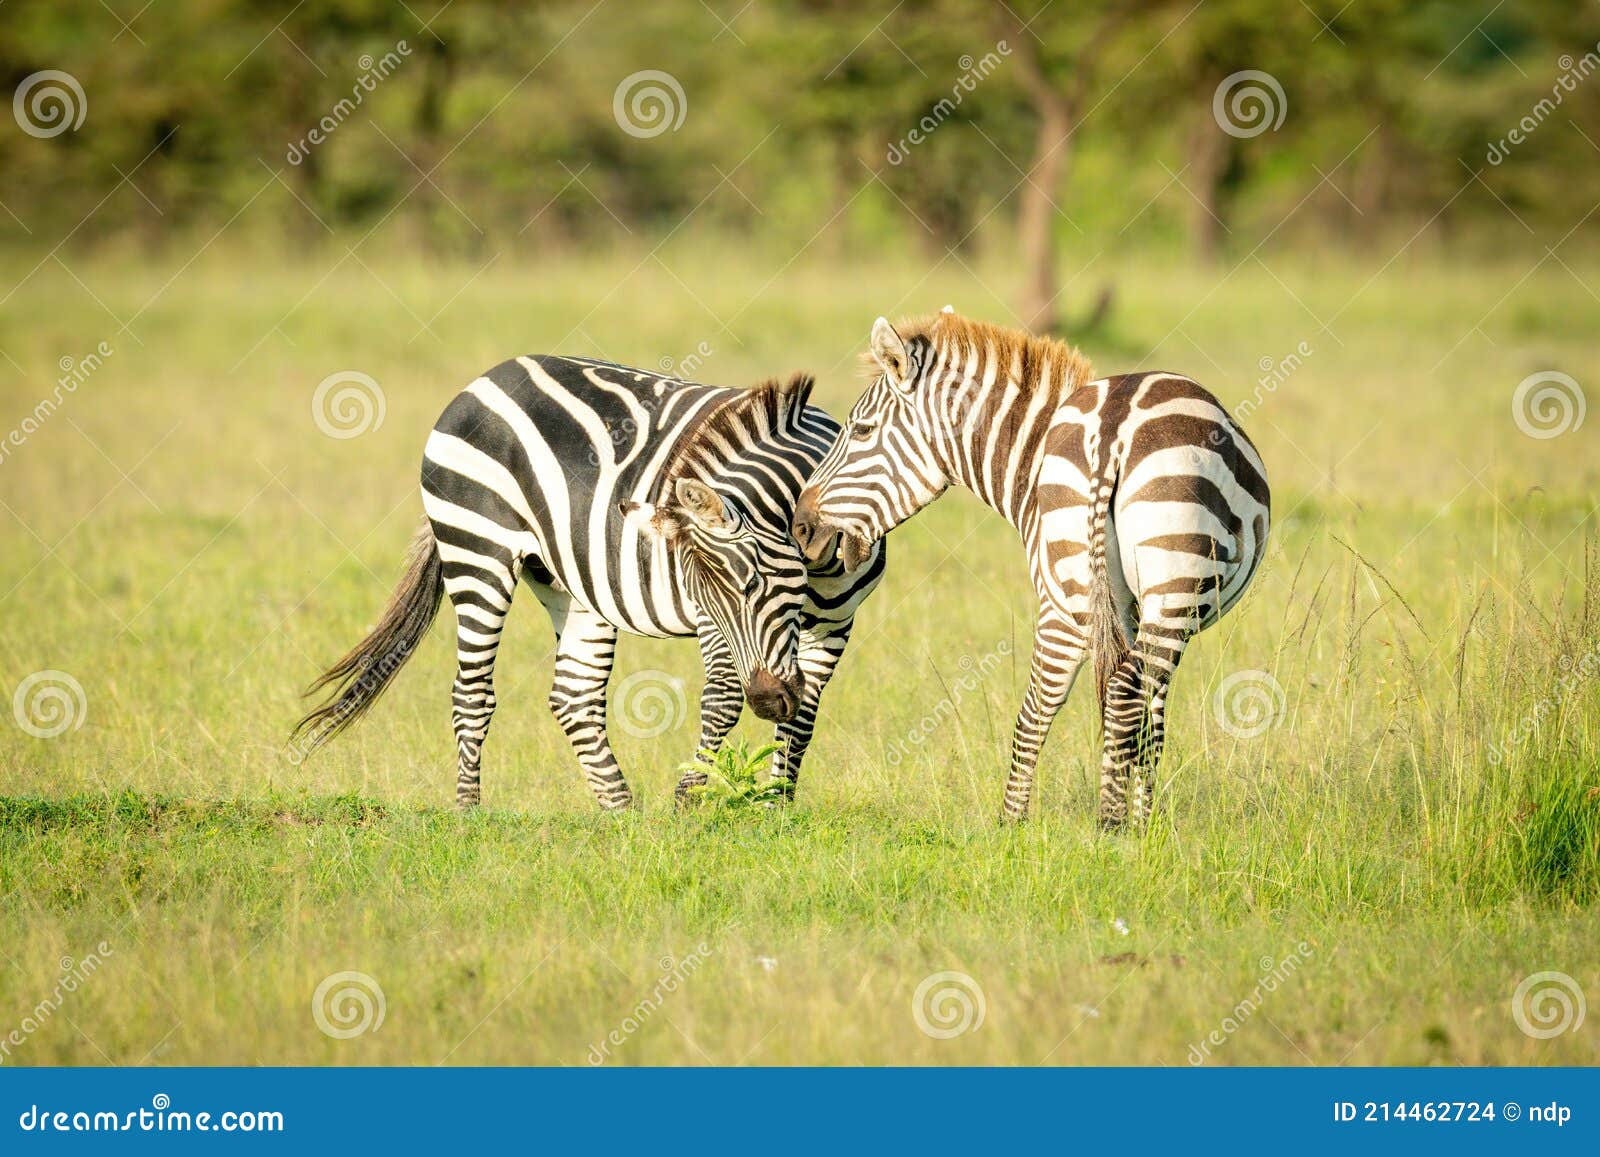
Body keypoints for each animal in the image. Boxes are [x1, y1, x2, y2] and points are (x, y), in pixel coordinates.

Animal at [293, 355, 885, 810]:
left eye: (752, 583)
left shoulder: (839, 622)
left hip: (567, 582)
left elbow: (804, 716)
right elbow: (721, 698)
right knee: (472, 693)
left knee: (574, 696)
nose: (768, 701)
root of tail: (488, 376)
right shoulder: (711, 624)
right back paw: (468, 812)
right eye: (720, 593)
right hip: (478, 549)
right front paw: (690, 805)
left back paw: (621, 812)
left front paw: (776, 807)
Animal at [792, 310, 1269, 828]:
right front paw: (1145, 821)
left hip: (1088, 597)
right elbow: (1150, 719)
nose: (800, 527)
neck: (1033, 451)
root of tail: (1111, 429)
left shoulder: (1118, 609)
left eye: (860, 430)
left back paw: (1029, 823)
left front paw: (1143, 815)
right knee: (1112, 696)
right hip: (1162, 595)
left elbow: (1142, 717)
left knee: (1057, 706)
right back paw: (1109, 826)